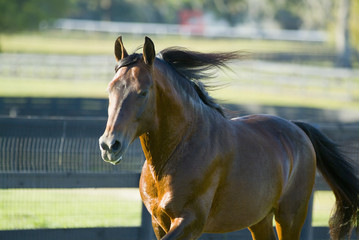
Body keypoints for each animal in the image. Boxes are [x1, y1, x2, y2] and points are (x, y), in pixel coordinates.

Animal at [99, 36, 359, 240]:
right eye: (110, 88)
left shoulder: (189, 222)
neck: (177, 153)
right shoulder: (158, 223)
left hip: (290, 217)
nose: (110, 145)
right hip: (259, 220)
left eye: (143, 92)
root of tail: (297, 129)